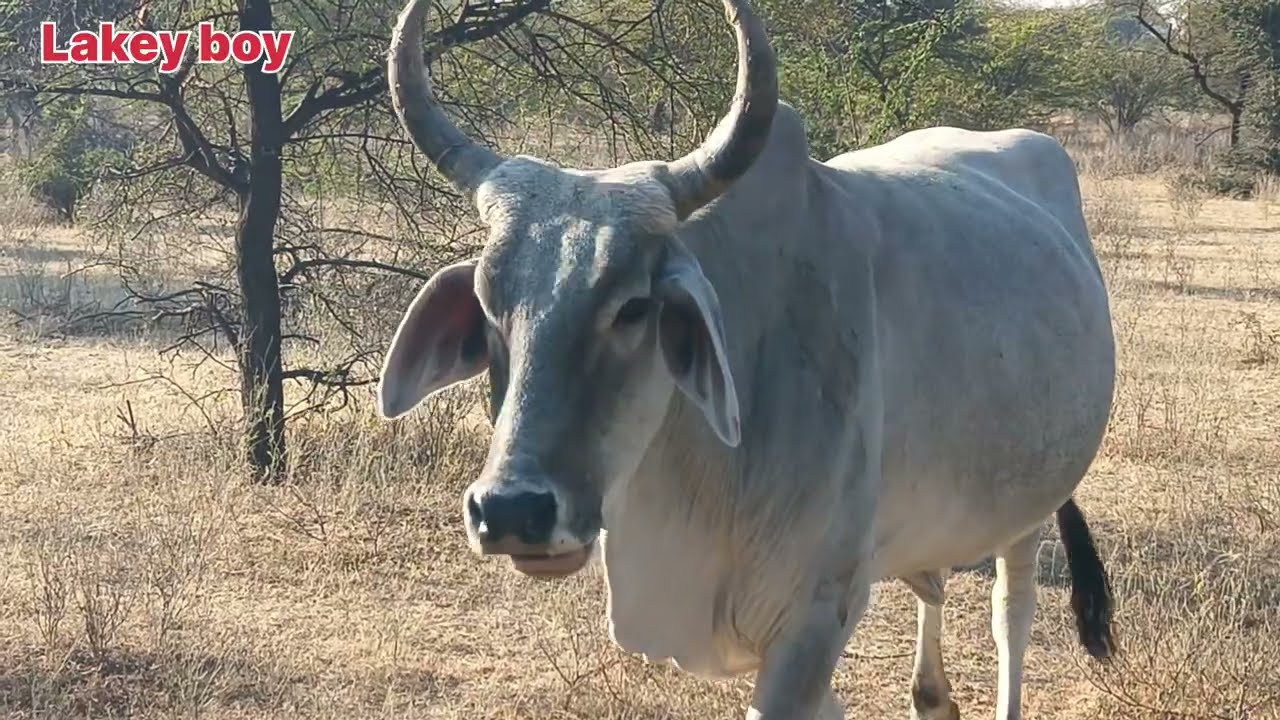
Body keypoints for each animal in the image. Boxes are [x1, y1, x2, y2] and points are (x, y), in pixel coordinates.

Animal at [375, 0, 1119, 718]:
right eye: (488, 302)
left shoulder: (811, 621)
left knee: (1011, 613)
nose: (511, 511)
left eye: (634, 307)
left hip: (1029, 508)